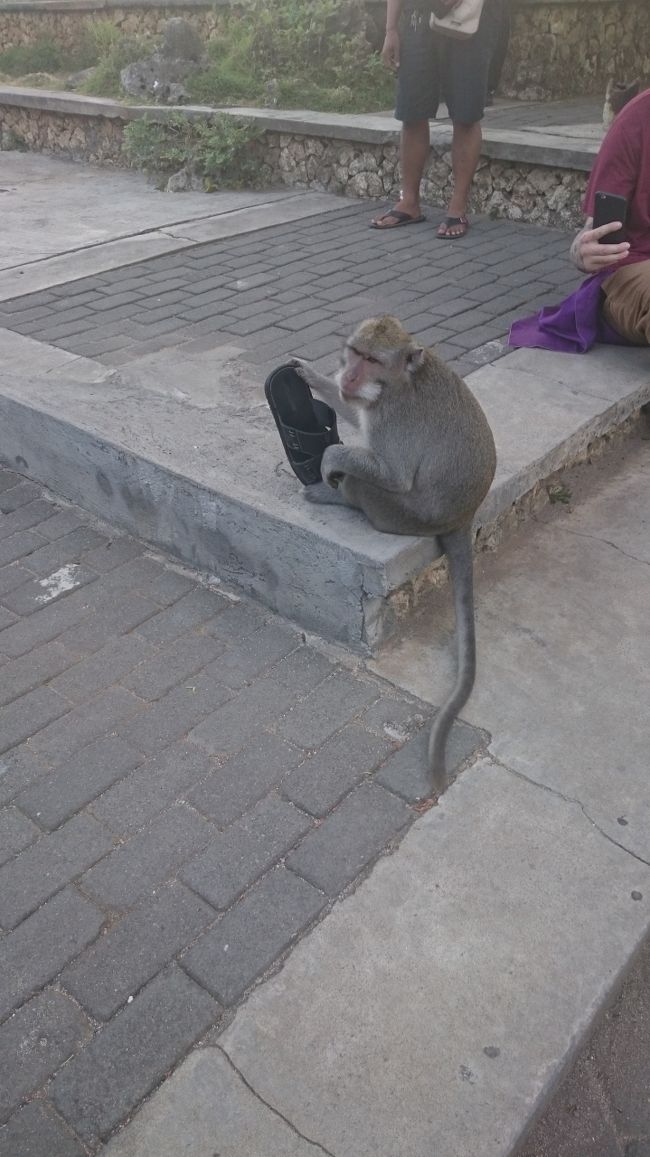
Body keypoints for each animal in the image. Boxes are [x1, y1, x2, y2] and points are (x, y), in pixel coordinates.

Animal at [291, 316, 496, 792]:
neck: (397, 381)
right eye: (354, 353)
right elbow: (353, 413)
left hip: (403, 515)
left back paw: (336, 495)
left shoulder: (392, 417)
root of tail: (464, 515)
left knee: (365, 482)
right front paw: (314, 378)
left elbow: (392, 472)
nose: (348, 376)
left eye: (371, 359)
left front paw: (331, 458)